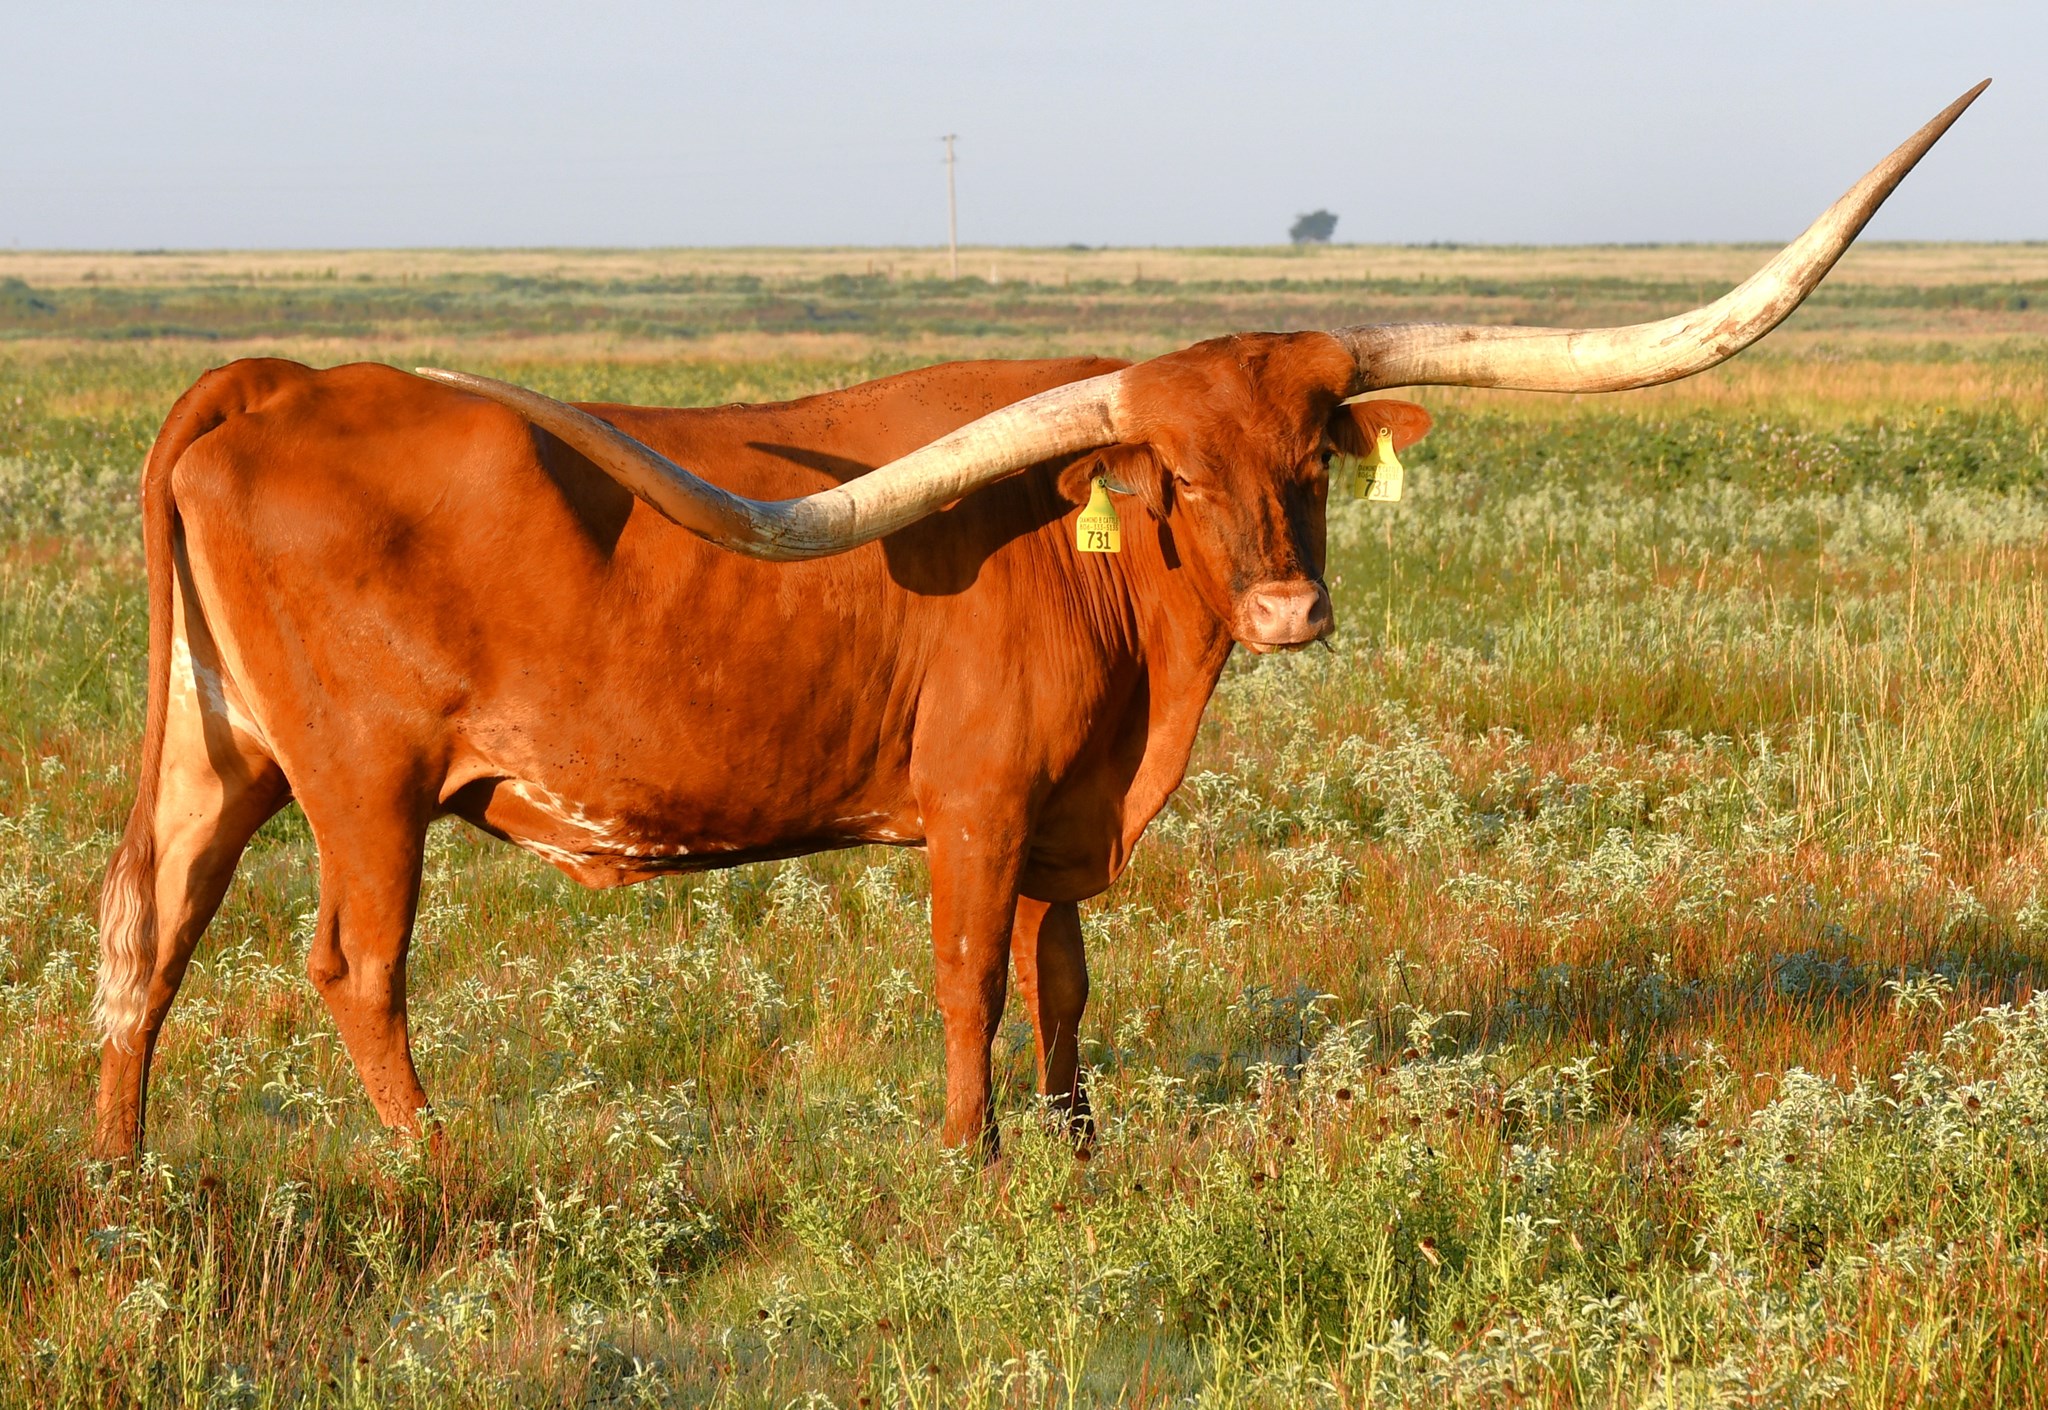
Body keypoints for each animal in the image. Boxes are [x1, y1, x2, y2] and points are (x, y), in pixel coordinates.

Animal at [90, 85, 1983, 1159]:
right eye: (1177, 479)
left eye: (1307, 455)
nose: (1287, 601)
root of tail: (281, 381)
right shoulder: (980, 800)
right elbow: (967, 976)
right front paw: (970, 1152)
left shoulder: (1069, 815)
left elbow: (1061, 979)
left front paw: (1074, 1143)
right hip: (363, 782)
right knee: (352, 964)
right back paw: (439, 1170)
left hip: (218, 754)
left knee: (144, 929)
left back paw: (119, 1174)